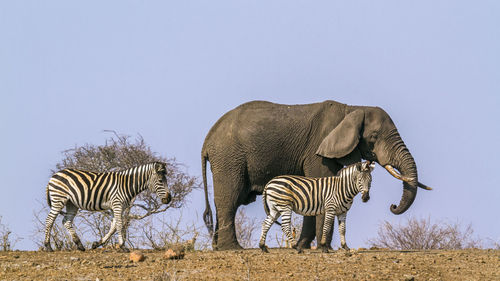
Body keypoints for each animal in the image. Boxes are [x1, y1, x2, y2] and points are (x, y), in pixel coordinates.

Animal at [44, 161, 172, 250]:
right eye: (161, 181)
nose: (169, 198)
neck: (126, 184)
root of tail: (54, 176)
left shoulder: (119, 207)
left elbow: (113, 226)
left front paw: (97, 243)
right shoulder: (117, 204)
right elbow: (119, 224)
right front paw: (122, 246)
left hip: (72, 203)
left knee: (66, 221)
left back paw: (80, 245)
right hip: (58, 199)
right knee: (49, 220)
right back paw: (48, 246)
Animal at [201, 100, 432, 249]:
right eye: (374, 137)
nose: (392, 206)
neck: (352, 109)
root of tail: (207, 140)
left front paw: (305, 247)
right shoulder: (317, 151)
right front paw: (323, 249)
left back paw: (218, 247)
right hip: (229, 157)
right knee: (229, 199)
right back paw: (232, 249)